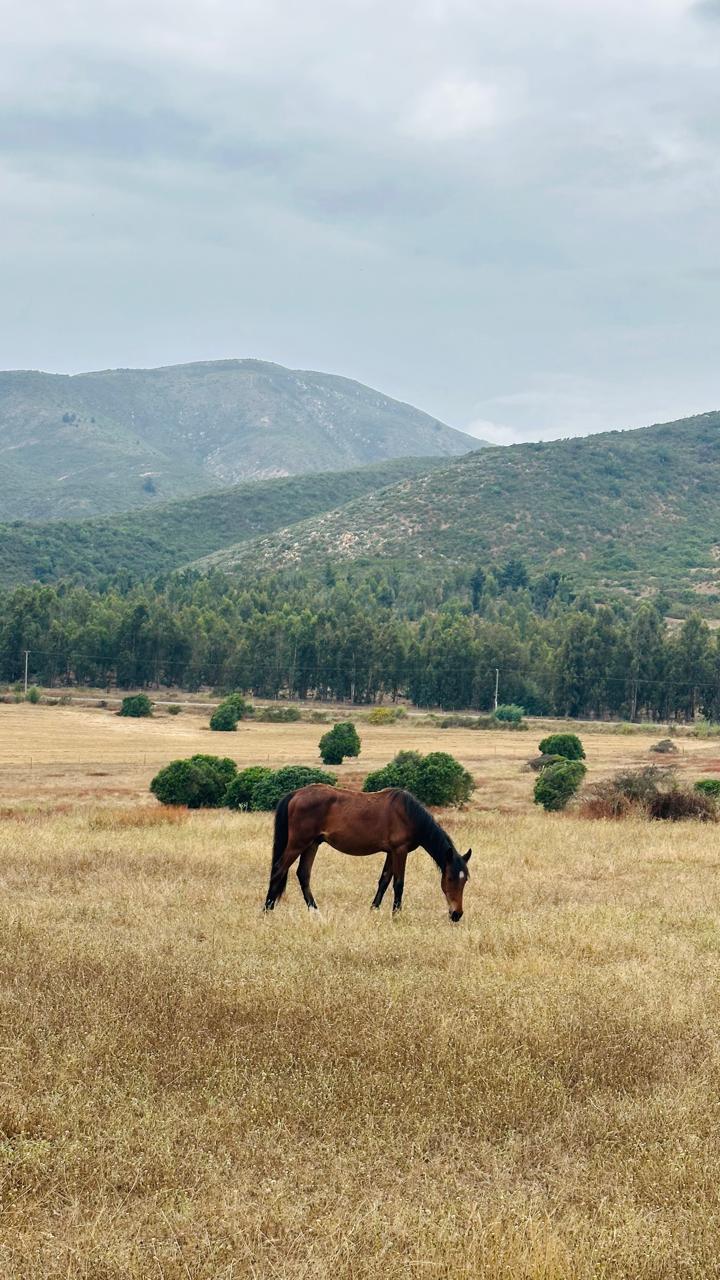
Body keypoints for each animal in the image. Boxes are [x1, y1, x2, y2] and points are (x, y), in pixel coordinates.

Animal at [263, 783, 471, 921]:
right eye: (450, 878)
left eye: (465, 880)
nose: (457, 914)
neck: (408, 815)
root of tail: (295, 794)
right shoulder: (400, 850)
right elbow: (398, 883)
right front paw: (396, 915)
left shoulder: (391, 852)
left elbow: (384, 881)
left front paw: (374, 909)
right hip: (298, 843)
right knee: (279, 869)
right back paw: (267, 910)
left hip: (312, 843)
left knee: (303, 874)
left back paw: (315, 912)